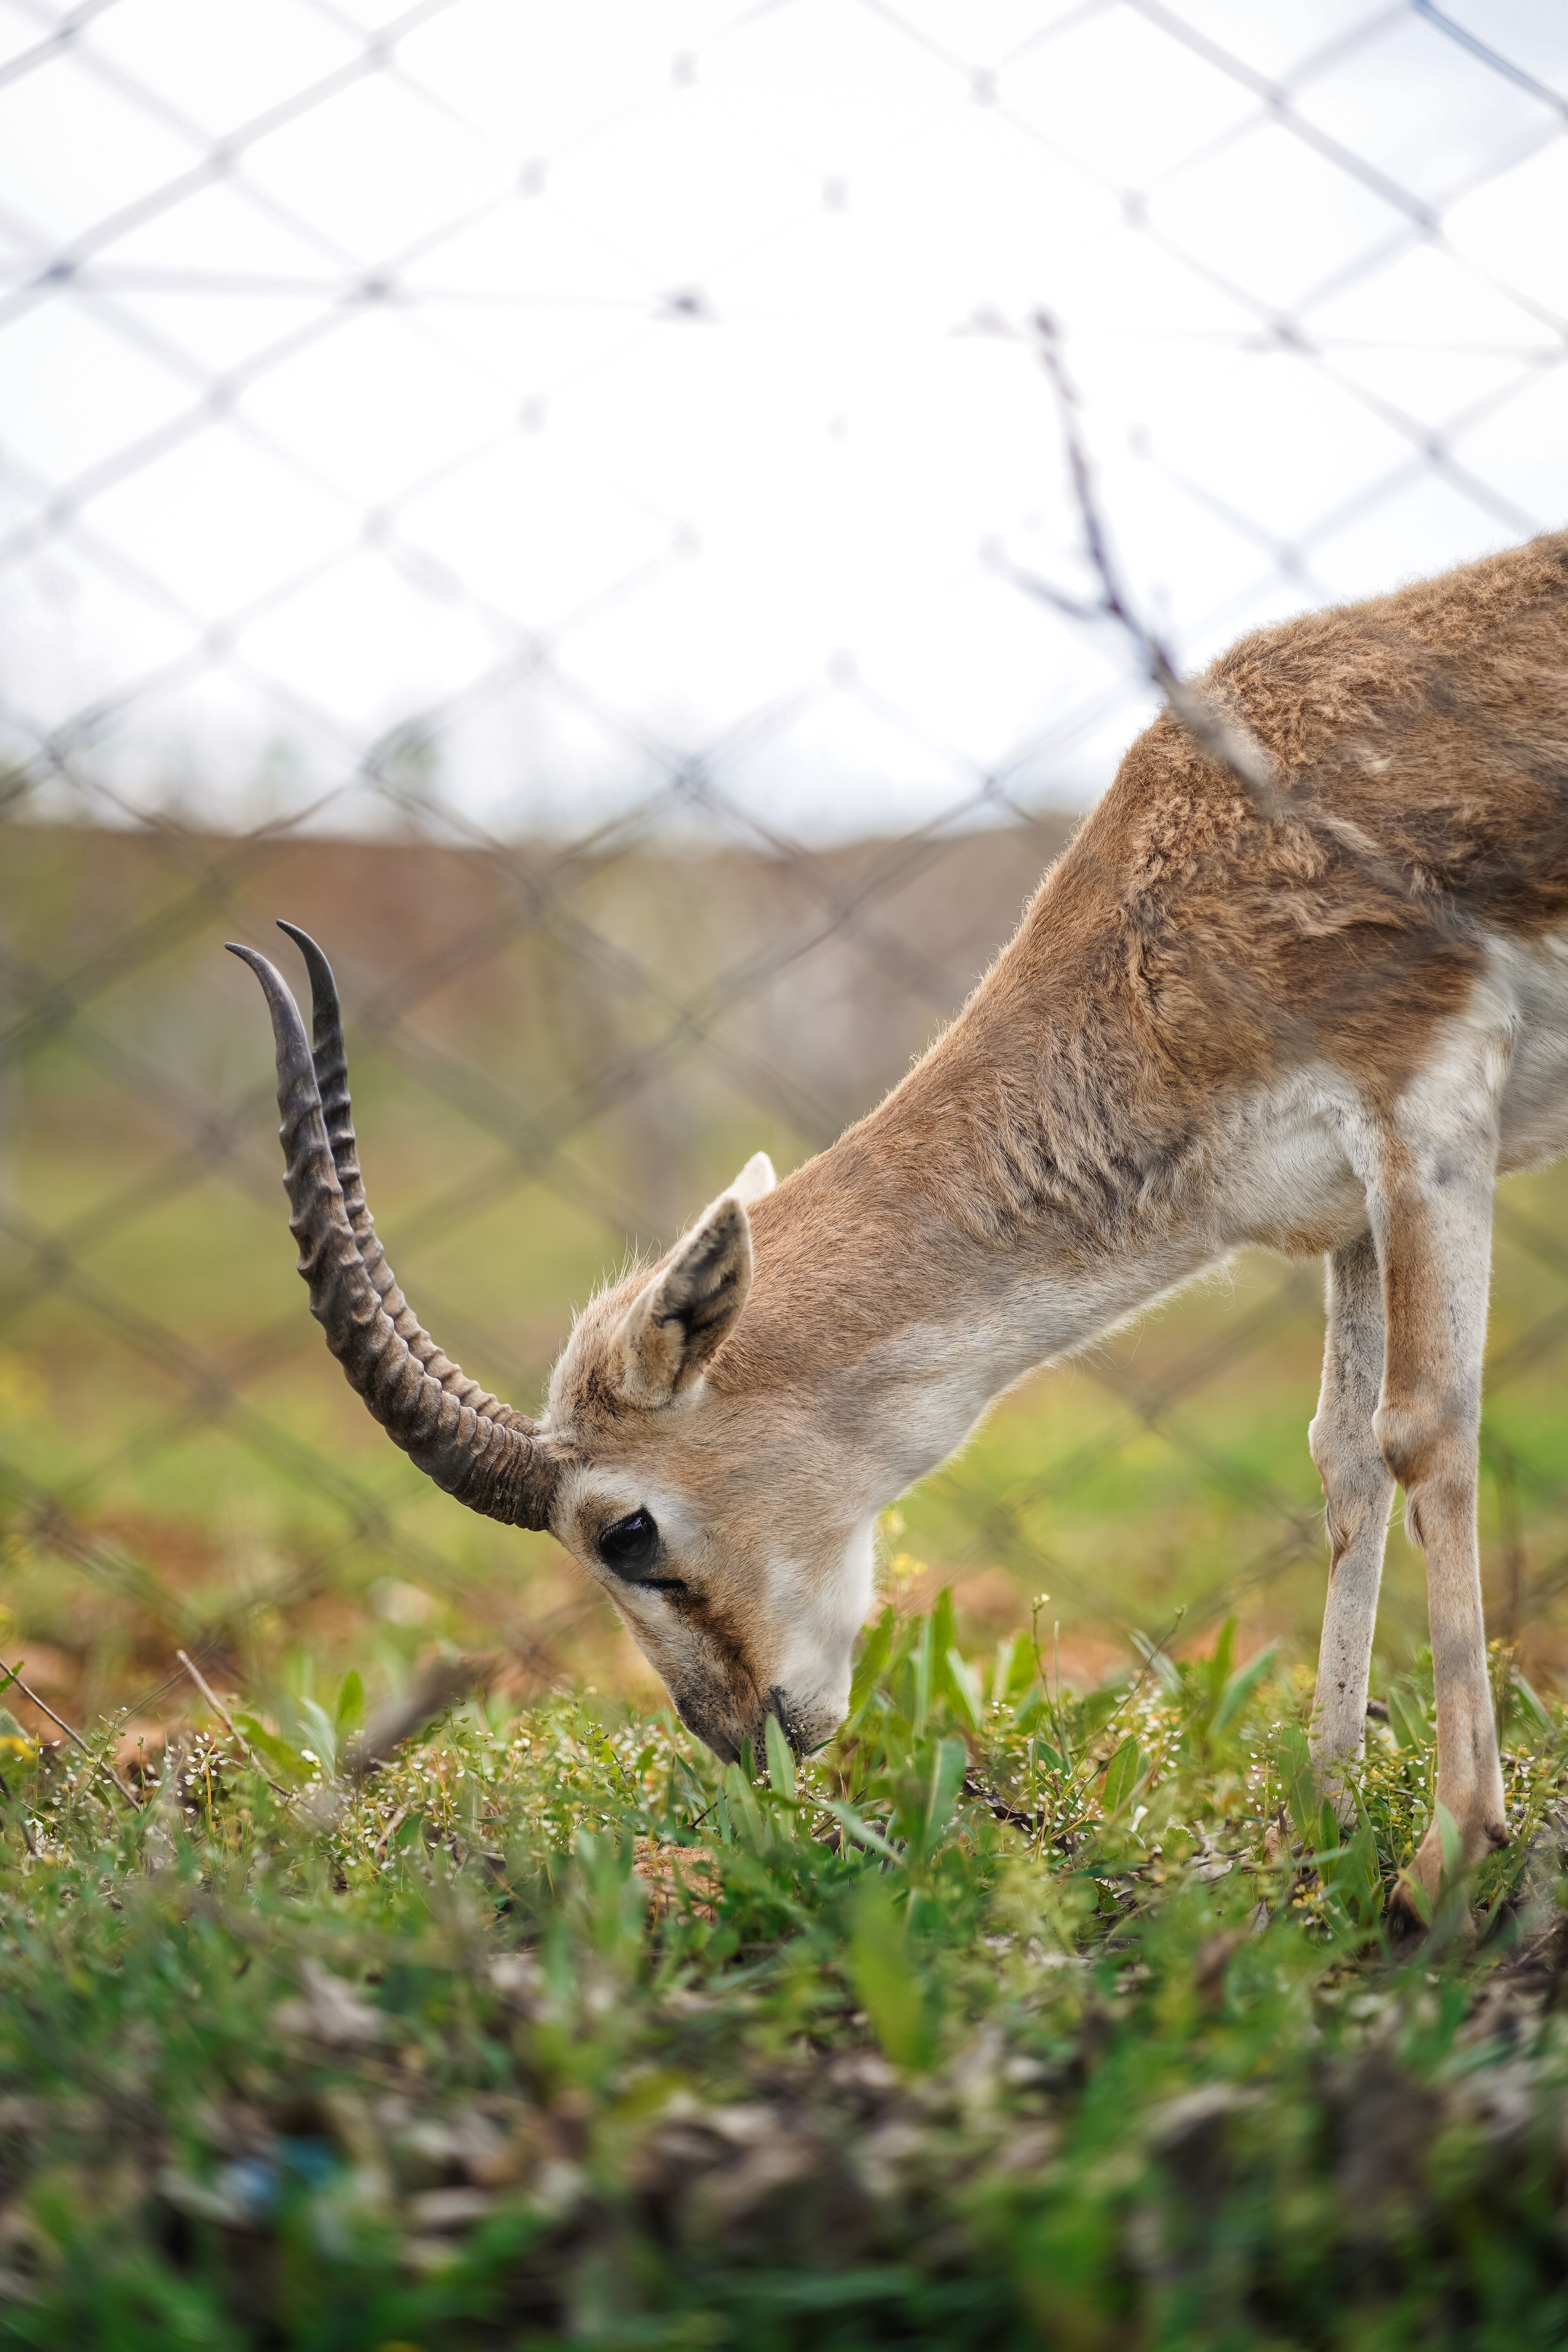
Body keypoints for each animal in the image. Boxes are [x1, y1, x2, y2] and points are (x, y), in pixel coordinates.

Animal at [232, 529, 1568, 1912]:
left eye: (627, 1529)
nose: (743, 1735)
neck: (1191, 867)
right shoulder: (1346, 1201)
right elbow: (1344, 1457)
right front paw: (1327, 1817)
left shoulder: (1424, 1106)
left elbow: (1425, 1429)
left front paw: (1449, 1854)